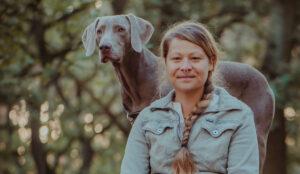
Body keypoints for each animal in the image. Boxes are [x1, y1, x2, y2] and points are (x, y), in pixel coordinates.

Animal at [81, 13, 274, 173]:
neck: (135, 77)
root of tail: (263, 78)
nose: (104, 47)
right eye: (99, 31)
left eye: (120, 29)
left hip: (258, 135)